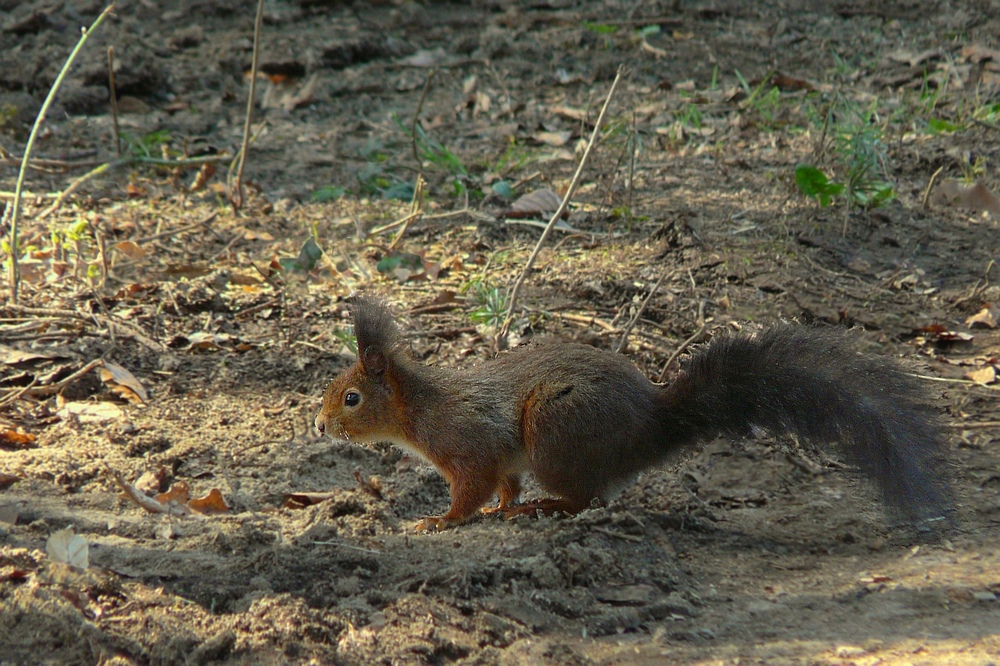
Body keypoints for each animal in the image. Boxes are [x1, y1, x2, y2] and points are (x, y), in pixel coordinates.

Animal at [314, 296, 952, 528]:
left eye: (351, 398)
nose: (318, 426)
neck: (419, 408)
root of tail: (653, 426)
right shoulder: (505, 462)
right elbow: (505, 486)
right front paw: (501, 508)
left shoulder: (469, 446)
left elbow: (471, 491)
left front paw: (440, 521)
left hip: (554, 435)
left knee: (587, 499)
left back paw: (547, 508)